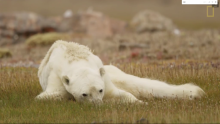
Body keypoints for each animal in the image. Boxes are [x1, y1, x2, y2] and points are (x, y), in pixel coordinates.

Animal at [35, 40, 205, 104]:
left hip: (113, 71)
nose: (98, 103)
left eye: (100, 90)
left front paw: (140, 102)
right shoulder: (57, 77)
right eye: (85, 94)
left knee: (138, 84)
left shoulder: (103, 77)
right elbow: (50, 96)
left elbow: (119, 93)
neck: (75, 59)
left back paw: (195, 92)